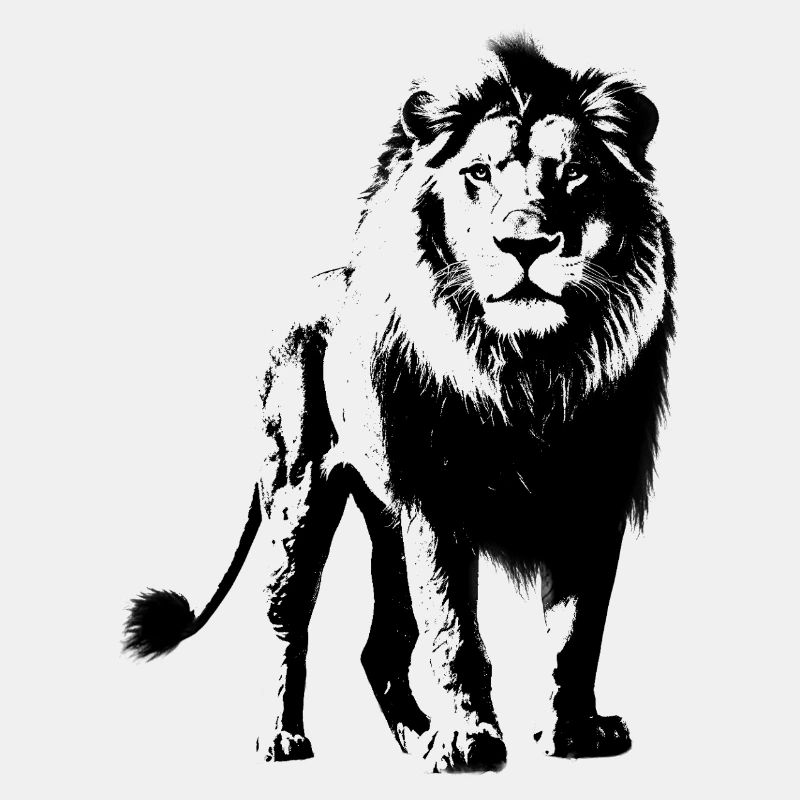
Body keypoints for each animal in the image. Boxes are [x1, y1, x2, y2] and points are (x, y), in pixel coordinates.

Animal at [124, 35, 675, 772]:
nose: (525, 241)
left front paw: (576, 732)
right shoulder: (437, 504)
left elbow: (576, 634)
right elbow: (454, 633)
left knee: (381, 644)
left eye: (574, 175)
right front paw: (470, 742)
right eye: (479, 174)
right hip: (299, 495)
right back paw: (283, 736)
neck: (528, 367)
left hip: (386, 520)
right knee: (286, 620)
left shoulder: (593, 499)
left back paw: (415, 735)